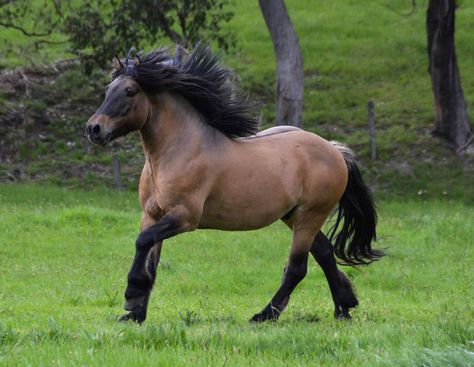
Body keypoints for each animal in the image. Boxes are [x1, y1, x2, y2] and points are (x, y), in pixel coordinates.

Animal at [84, 45, 382, 324]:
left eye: (130, 91)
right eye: (108, 89)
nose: (93, 129)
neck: (178, 152)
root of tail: (334, 150)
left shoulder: (185, 217)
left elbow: (142, 242)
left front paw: (131, 295)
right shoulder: (152, 215)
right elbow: (150, 259)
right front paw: (136, 313)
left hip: (310, 214)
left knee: (298, 267)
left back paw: (265, 315)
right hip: (293, 215)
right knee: (325, 253)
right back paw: (343, 309)